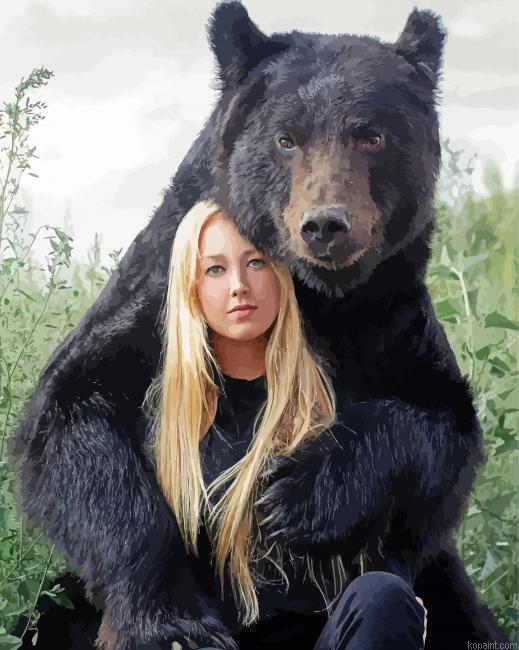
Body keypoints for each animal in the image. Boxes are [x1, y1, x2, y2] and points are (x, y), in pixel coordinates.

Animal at [8, 1, 510, 649]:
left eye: (371, 135)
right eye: (286, 137)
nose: (326, 225)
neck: (316, 298)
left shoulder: (391, 320)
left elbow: (438, 427)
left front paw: (300, 493)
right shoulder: (153, 303)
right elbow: (72, 416)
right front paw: (173, 624)